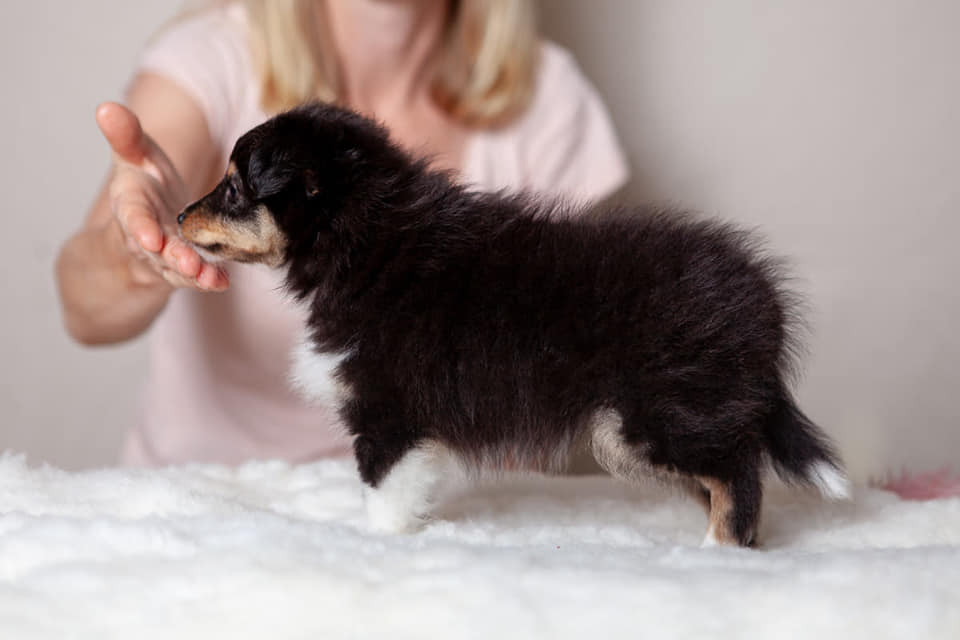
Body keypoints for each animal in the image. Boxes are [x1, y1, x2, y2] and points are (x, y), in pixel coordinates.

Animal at [178, 102, 849, 547]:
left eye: (234, 189)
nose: (181, 215)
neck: (365, 241)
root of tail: (764, 307)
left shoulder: (388, 411)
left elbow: (382, 492)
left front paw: (383, 545)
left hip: (657, 415)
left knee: (738, 472)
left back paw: (718, 552)